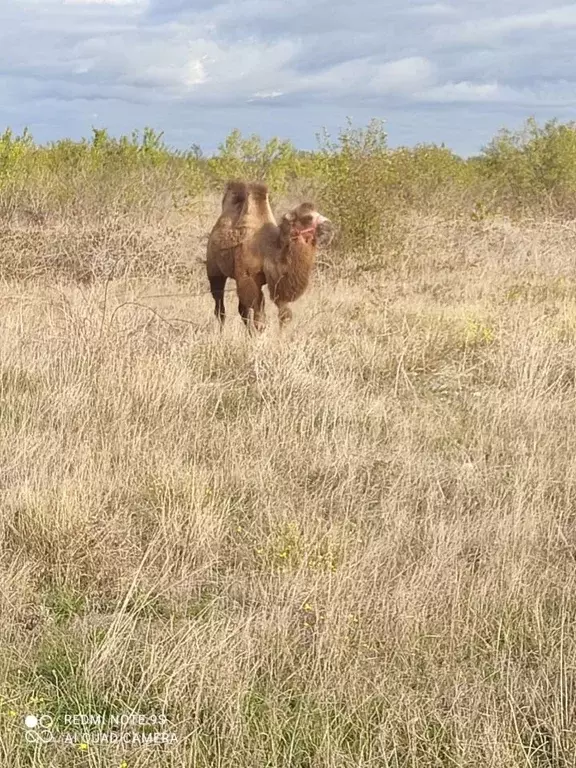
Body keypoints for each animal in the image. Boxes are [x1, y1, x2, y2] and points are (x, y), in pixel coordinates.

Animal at [206, 183, 332, 332]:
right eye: (307, 217)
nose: (329, 226)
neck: (267, 251)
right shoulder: (248, 278)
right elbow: (258, 316)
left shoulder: (277, 282)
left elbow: (285, 314)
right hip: (214, 269)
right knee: (220, 305)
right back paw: (221, 331)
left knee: (242, 310)